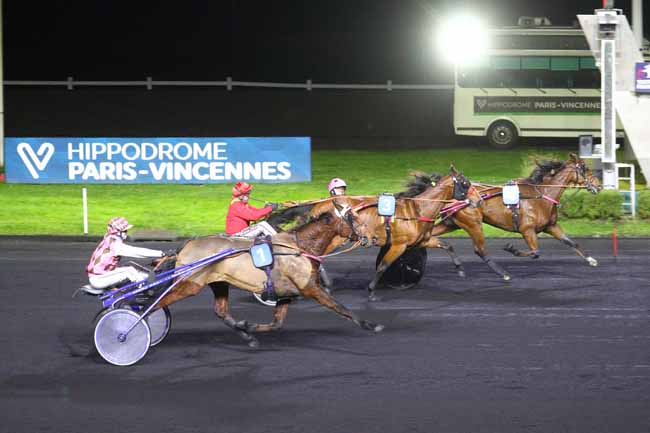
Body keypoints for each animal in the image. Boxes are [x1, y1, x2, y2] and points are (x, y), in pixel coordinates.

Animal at [153, 199, 382, 348]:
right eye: (353, 218)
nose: (369, 237)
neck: (299, 246)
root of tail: (186, 245)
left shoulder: (287, 292)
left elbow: (277, 323)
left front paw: (249, 326)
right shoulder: (310, 288)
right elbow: (341, 307)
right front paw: (370, 324)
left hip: (219, 282)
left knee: (221, 311)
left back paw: (247, 337)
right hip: (189, 284)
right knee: (157, 304)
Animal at [428, 152, 600, 266]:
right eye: (585, 168)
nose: (598, 185)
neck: (541, 195)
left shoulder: (551, 226)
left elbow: (571, 242)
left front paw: (591, 259)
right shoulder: (527, 229)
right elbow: (535, 252)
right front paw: (512, 249)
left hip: (451, 223)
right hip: (469, 222)